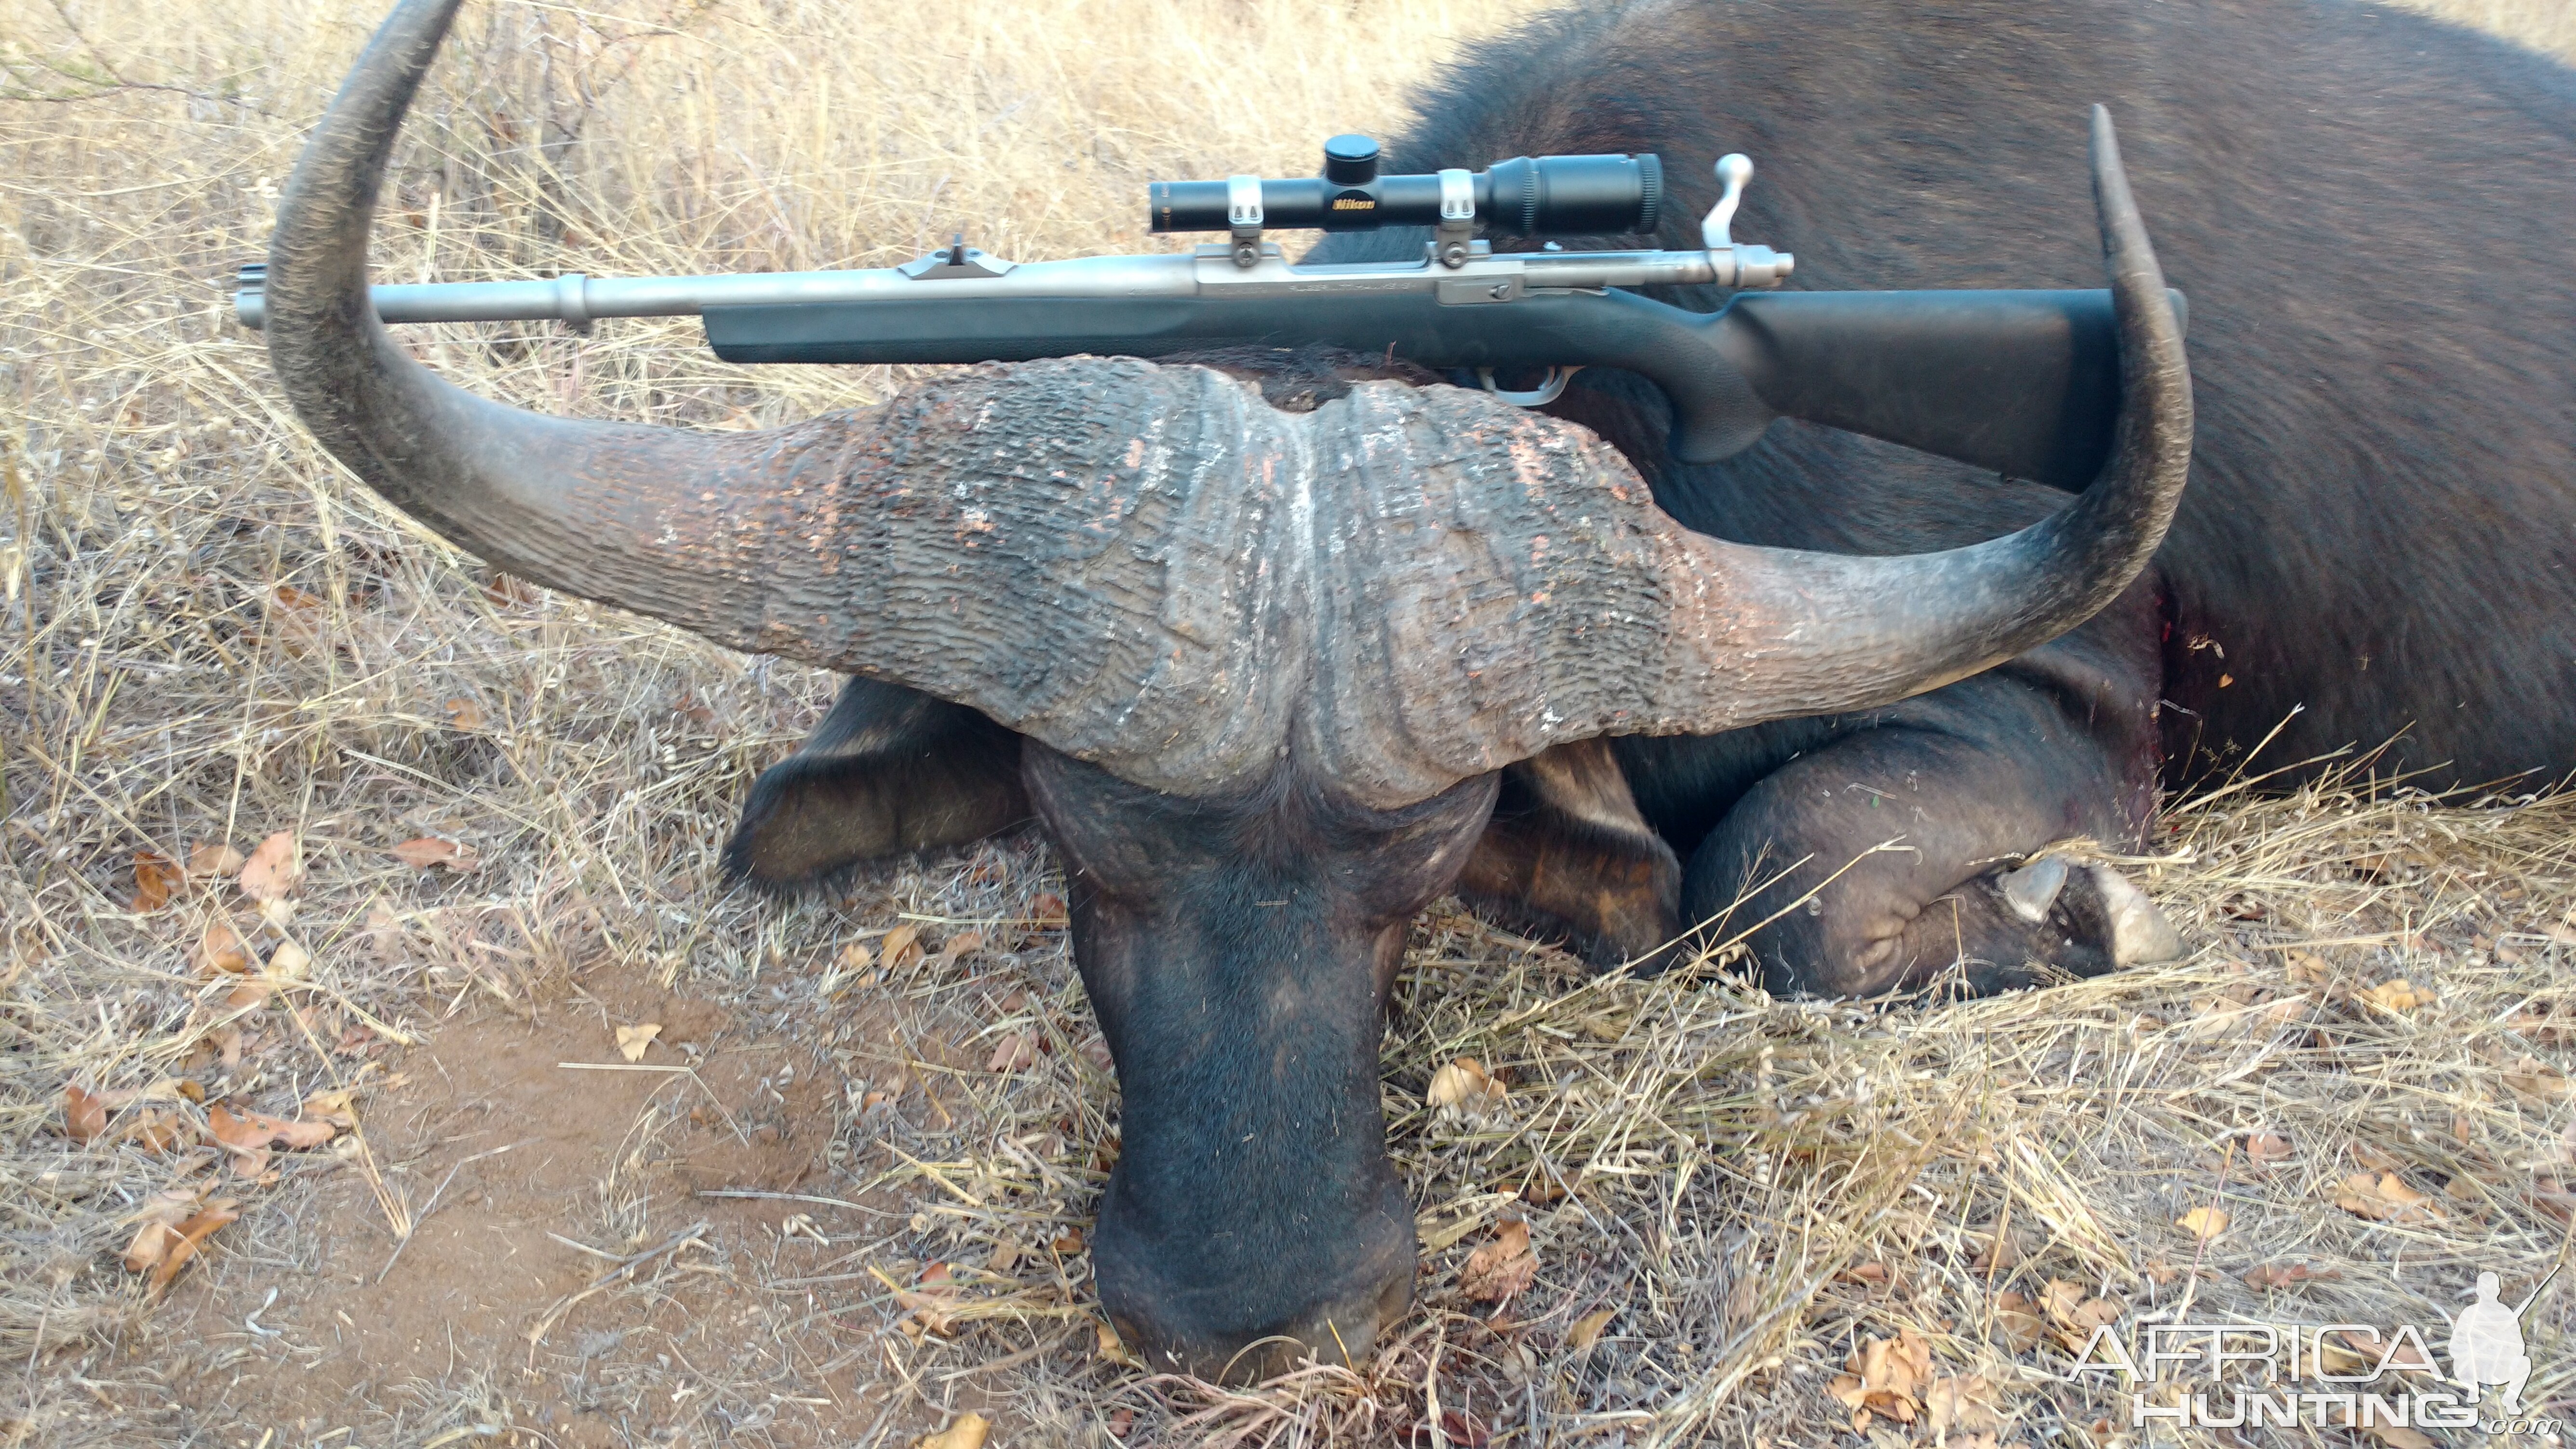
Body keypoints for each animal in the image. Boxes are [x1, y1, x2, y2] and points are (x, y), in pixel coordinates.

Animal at [261, 0, 2195, 1371]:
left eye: (1432, 855)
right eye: (1071, 832)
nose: (1251, 1310)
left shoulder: (2068, 718)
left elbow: (1783, 882)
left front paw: (2082, 913)